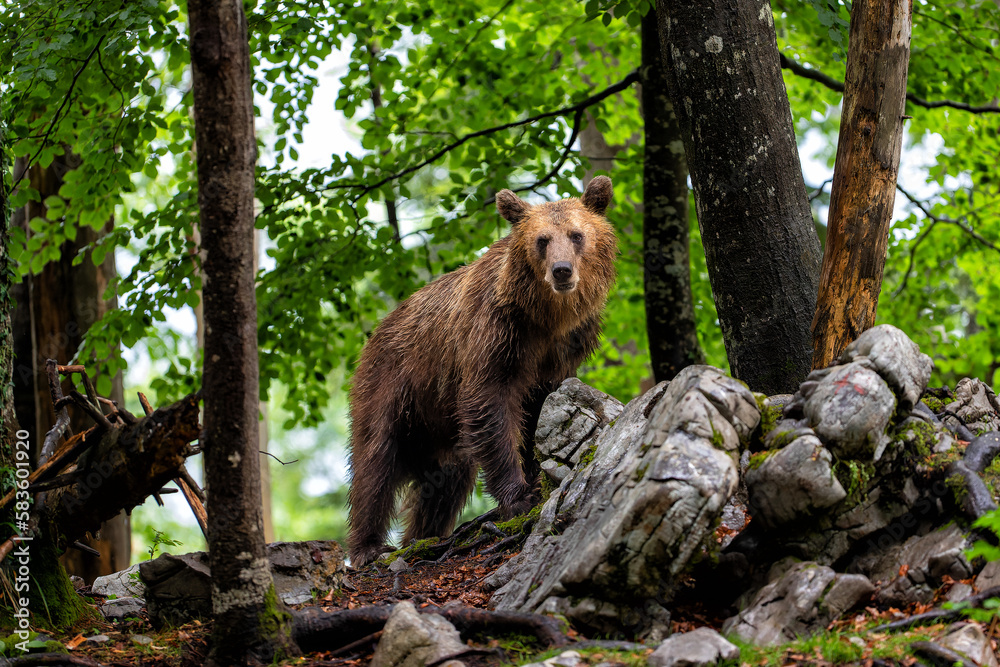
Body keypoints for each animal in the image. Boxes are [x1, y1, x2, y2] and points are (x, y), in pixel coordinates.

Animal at [346, 176, 617, 566]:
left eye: (577, 234)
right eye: (542, 239)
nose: (562, 270)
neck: (546, 317)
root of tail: (379, 330)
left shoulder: (564, 349)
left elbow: (537, 409)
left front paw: (534, 472)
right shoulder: (496, 333)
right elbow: (490, 401)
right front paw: (519, 495)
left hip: (437, 426)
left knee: (446, 480)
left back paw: (423, 535)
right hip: (394, 383)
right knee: (375, 460)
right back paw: (370, 546)